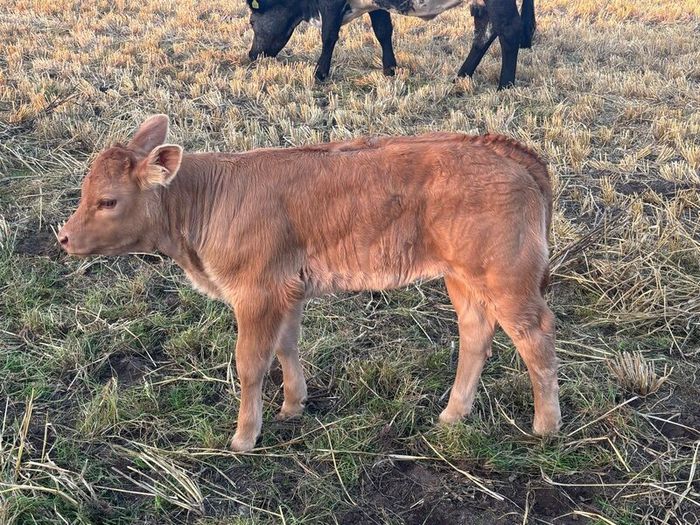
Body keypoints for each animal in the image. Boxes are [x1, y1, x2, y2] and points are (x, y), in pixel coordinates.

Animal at [58, 115, 561, 451]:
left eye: (108, 201)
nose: (63, 237)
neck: (205, 199)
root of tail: (498, 146)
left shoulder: (256, 291)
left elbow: (250, 363)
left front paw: (244, 437)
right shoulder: (287, 288)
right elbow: (286, 345)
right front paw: (292, 405)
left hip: (507, 278)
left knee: (535, 335)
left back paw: (546, 425)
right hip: (464, 277)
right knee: (476, 335)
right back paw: (453, 415)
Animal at [246, 0, 536, 89]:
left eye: (250, 21)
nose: (251, 54)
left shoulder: (330, 5)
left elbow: (328, 35)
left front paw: (320, 73)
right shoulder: (375, 5)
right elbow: (383, 31)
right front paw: (390, 69)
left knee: (508, 31)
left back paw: (505, 84)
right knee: (484, 32)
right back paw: (462, 75)